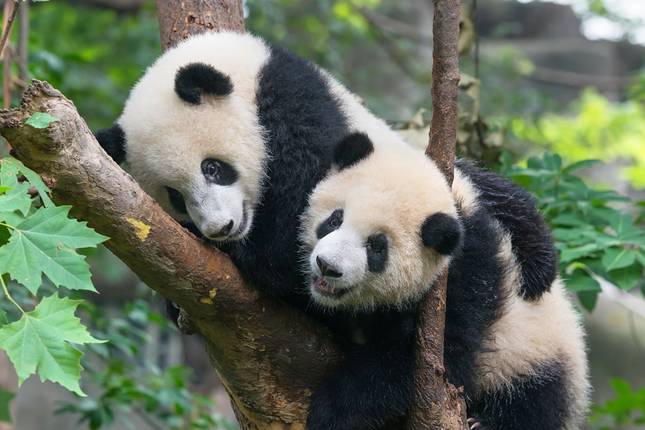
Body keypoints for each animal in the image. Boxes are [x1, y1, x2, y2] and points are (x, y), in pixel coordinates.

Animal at [300, 132, 589, 430]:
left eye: (377, 248)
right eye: (335, 219)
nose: (328, 266)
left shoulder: (465, 278)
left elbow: (437, 359)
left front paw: (331, 409)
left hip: (533, 358)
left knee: (534, 403)